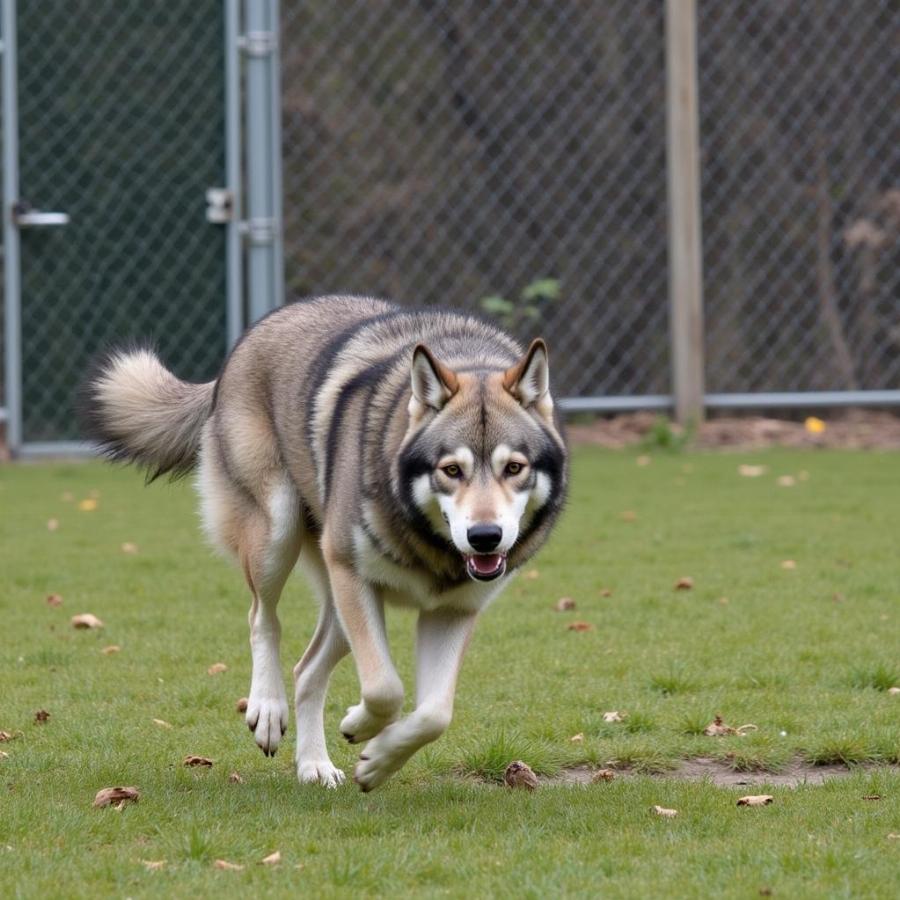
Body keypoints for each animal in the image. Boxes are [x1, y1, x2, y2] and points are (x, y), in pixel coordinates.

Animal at [81, 296, 568, 788]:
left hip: (338, 607)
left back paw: (313, 764)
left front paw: (379, 759)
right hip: (281, 537)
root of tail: (259, 329)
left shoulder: (452, 612)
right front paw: (360, 726)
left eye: (514, 468)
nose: (484, 537)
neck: (427, 548)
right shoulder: (354, 578)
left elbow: (434, 714)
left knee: (306, 670)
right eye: (451, 470)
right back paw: (268, 710)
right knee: (262, 619)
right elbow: (385, 688)